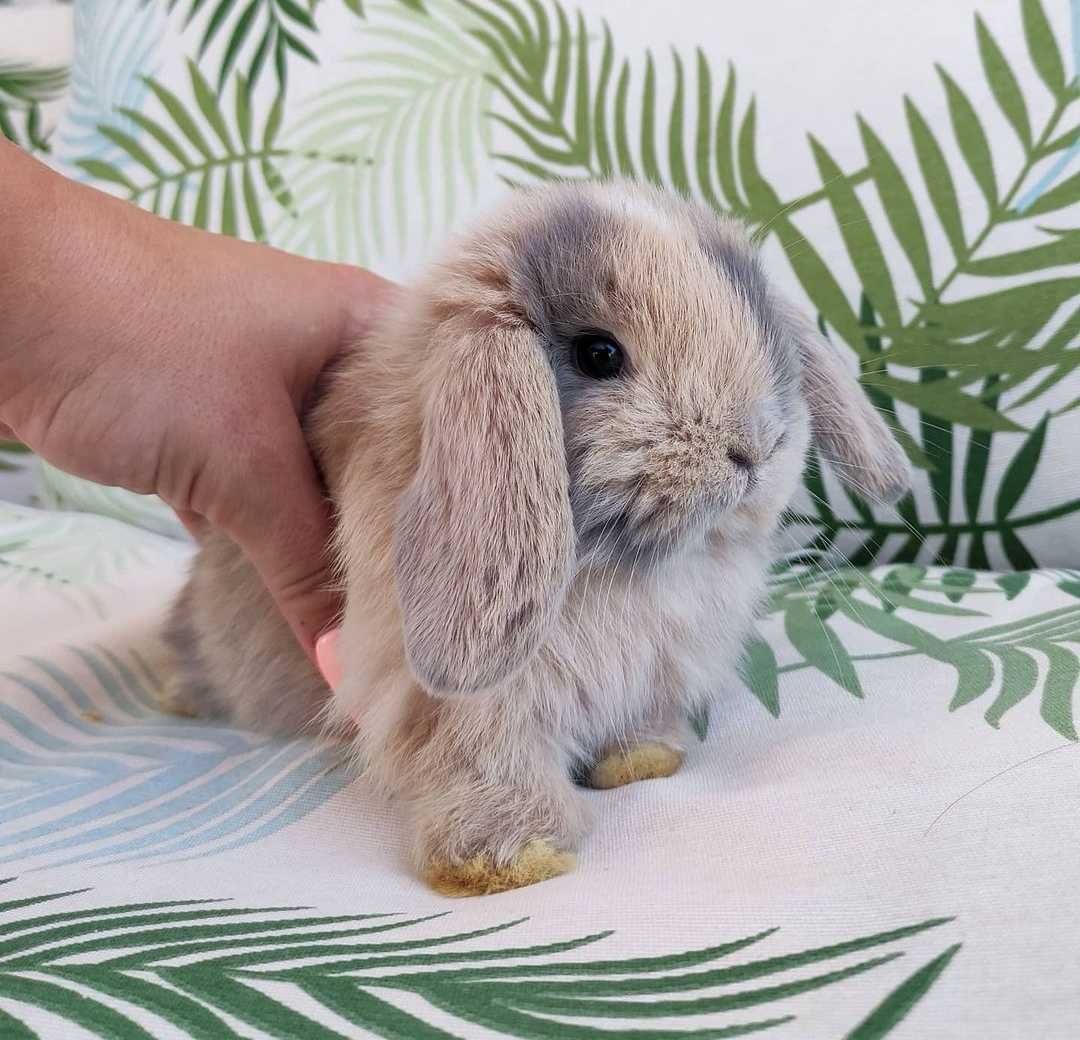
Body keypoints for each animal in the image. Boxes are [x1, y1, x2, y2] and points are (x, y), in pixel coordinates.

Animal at [166, 179, 911, 894]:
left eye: (757, 320)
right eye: (599, 354)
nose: (755, 448)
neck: (623, 569)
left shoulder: (652, 674)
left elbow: (639, 727)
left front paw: (643, 761)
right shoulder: (469, 710)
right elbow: (490, 767)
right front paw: (507, 860)